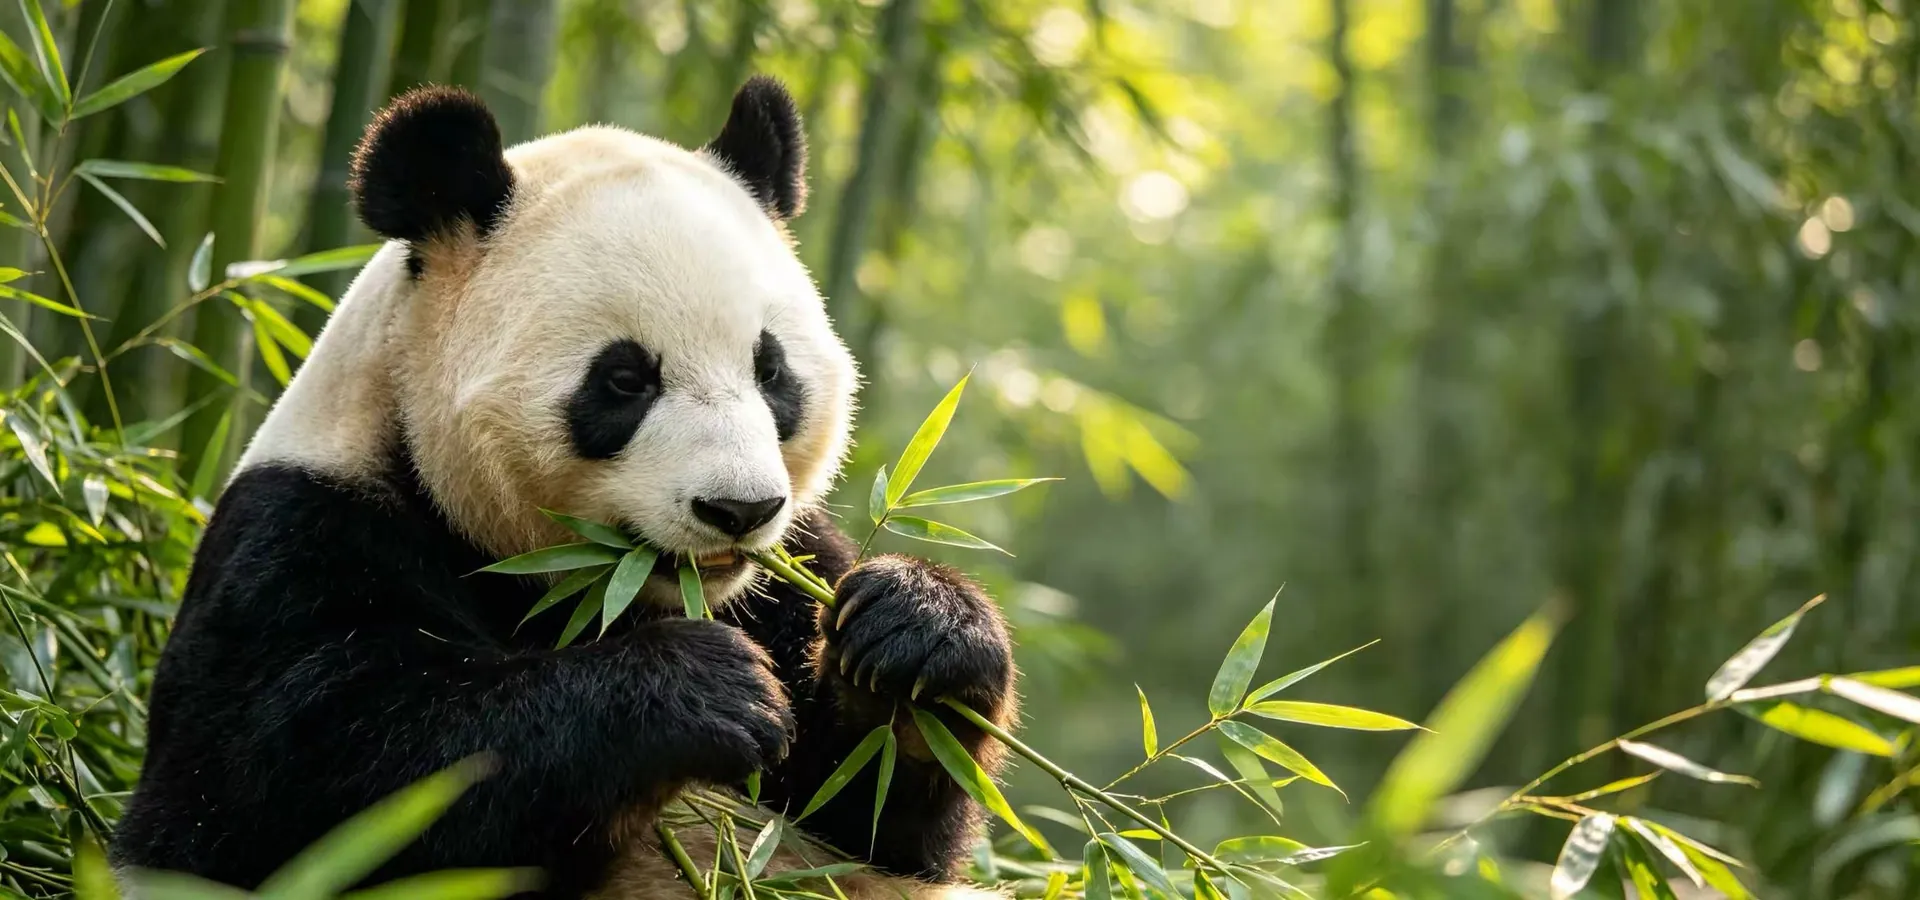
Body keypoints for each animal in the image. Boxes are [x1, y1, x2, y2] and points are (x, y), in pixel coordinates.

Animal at [111, 77, 1016, 900]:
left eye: (772, 371)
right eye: (624, 380)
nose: (739, 511)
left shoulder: (791, 575)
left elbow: (874, 820)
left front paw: (916, 631)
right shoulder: (298, 541)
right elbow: (279, 794)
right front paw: (702, 689)